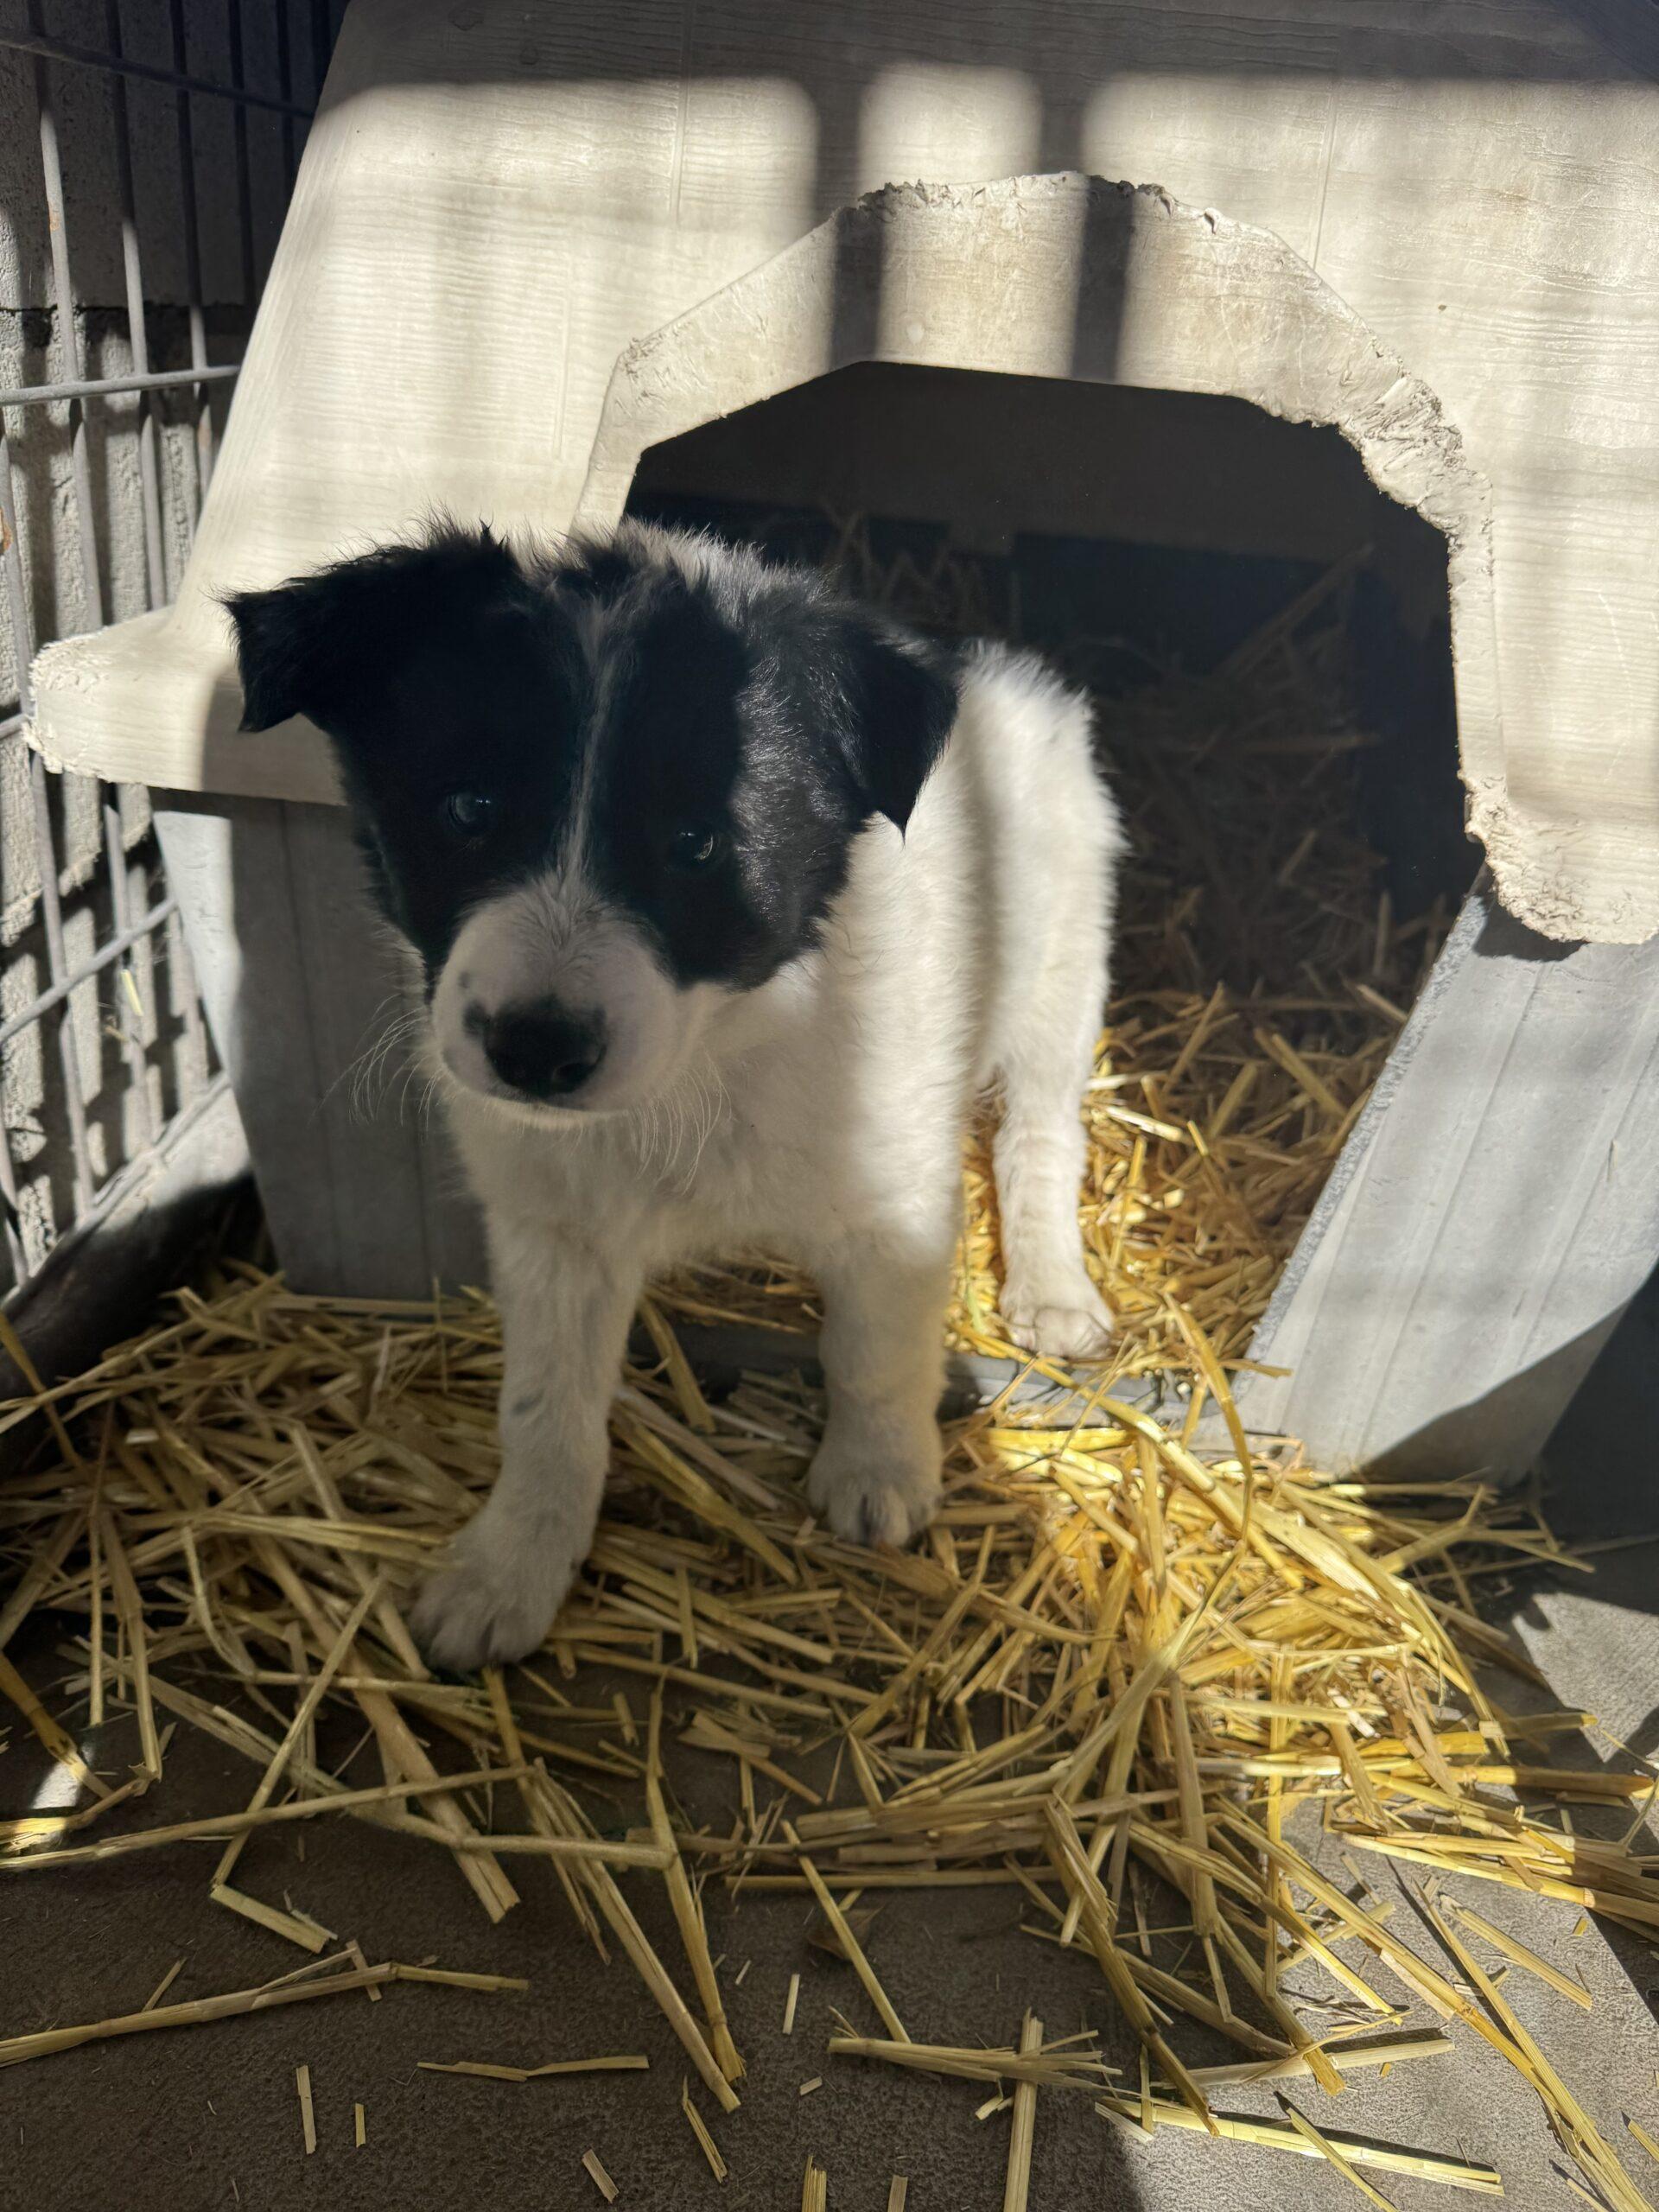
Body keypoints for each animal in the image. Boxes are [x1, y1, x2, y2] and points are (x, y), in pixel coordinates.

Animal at [227, 522, 1123, 1663]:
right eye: (470, 808)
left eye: (698, 843)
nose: (535, 1049)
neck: (714, 1054)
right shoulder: (553, 1230)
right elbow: (545, 1414)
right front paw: (510, 1568)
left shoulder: (895, 1202)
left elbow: (876, 1346)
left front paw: (880, 1470)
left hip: (1064, 956)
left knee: (1044, 1129)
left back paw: (1053, 1286)